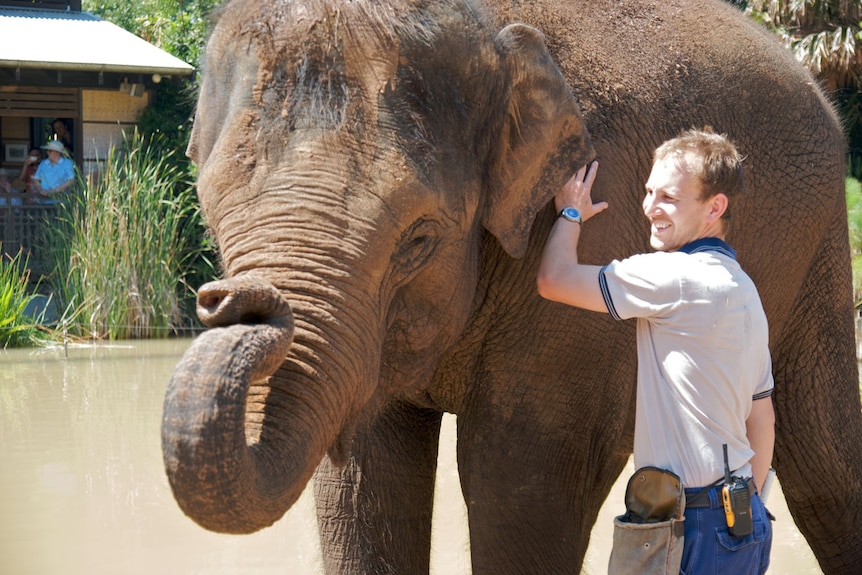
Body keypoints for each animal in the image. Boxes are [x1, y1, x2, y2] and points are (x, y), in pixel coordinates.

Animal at [162, 0, 862, 572]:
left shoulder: (595, 239)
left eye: (419, 238)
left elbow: (520, 476)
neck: (485, 29)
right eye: (212, 215)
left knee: (823, 467)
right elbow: (368, 472)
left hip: (819, 235)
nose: (230, 299)